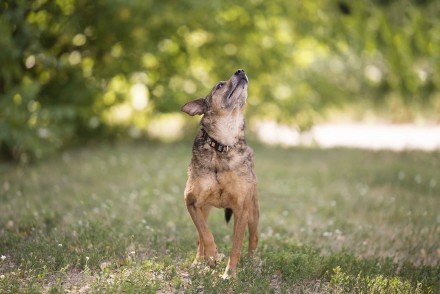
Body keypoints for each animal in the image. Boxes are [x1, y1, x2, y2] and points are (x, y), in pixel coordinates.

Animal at [181, 69, 260, 280]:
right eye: (219, 85)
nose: (240, 70)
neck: (223, 144)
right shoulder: (191, 202)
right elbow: (205, 233)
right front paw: (212, 255)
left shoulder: (241, 209)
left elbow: (236, 246)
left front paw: (229, 274)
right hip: (204, 208)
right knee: (200, 236)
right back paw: (199, 262)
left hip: (253, 210)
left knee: (254, 237)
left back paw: (253, 262)